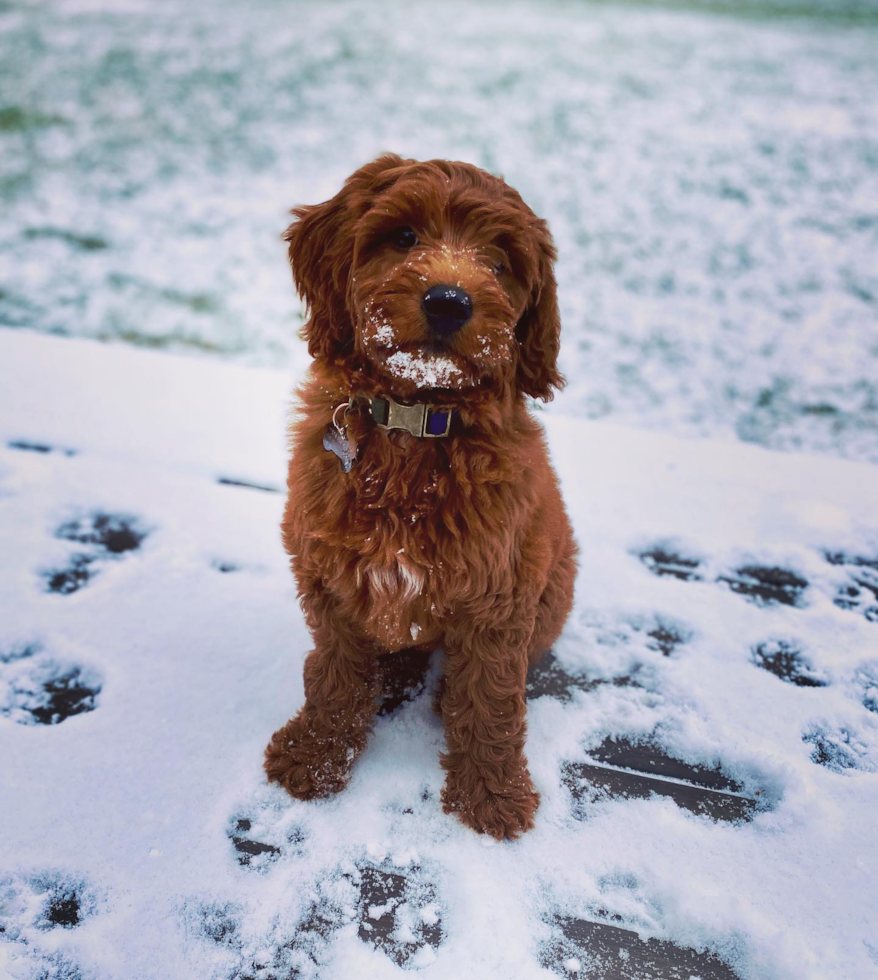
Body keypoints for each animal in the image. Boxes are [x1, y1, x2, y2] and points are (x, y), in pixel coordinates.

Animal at [264, 157, 580, 840]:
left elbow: (490, 698)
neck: (415, 423)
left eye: (498, 261)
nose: (448, 301)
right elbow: (335, 677)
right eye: (404, 236)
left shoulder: (498, 595)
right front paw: (314, 759)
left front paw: (492, 797)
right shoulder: (330, 580)